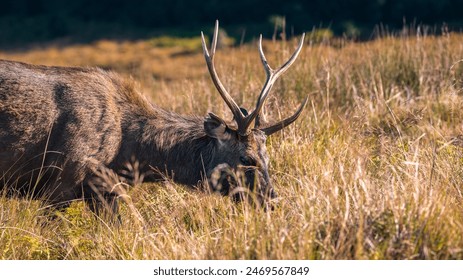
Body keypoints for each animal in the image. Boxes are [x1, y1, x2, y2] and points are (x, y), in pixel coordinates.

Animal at [0, 20, 308, 215]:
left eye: (267, 157)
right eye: (246, 158)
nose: (273, 201)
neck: (126, 151)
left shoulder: (105, 190)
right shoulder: (61, 178)